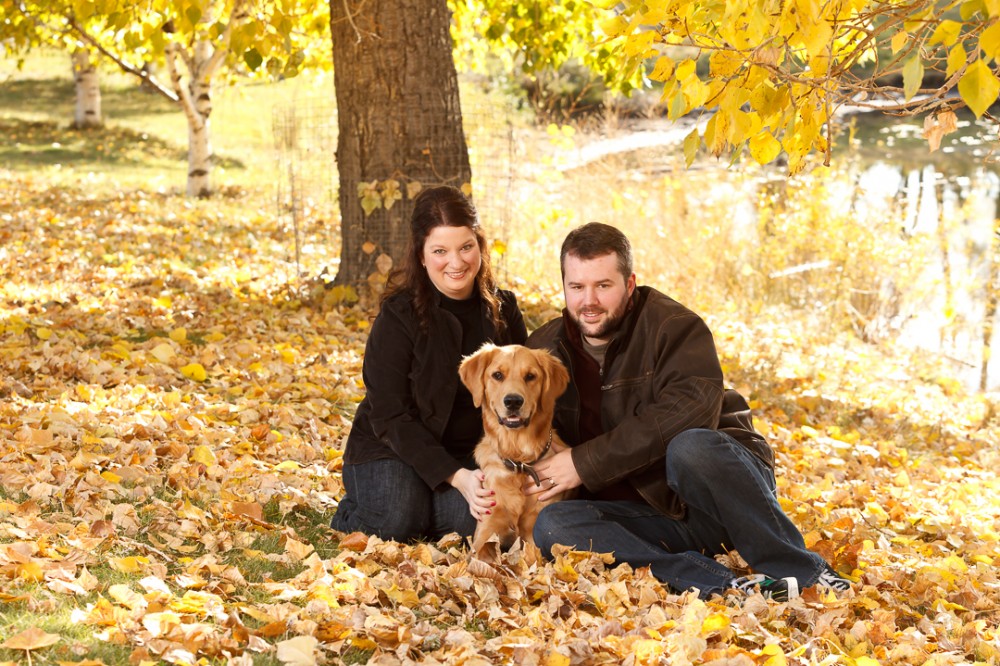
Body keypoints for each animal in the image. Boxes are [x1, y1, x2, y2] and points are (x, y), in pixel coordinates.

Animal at [460, 342, 572, 560]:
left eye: (530, 376)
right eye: (497, 375)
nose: (513, 401)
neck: (519, 460)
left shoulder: (533, 537)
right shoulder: (486, 528)